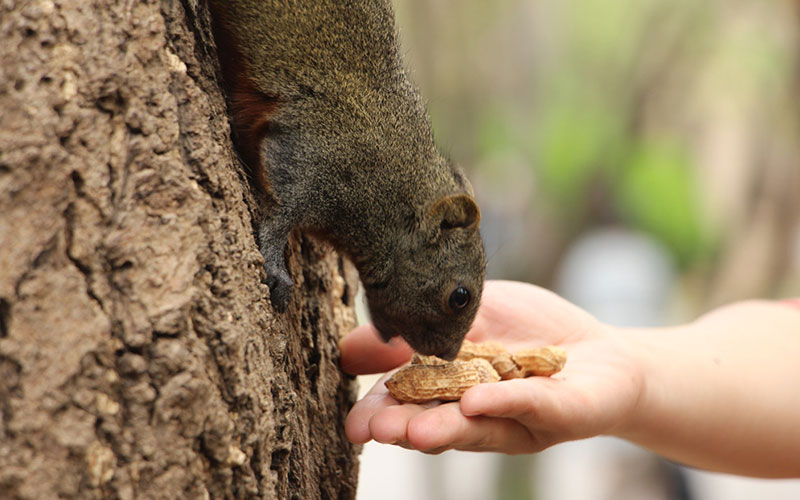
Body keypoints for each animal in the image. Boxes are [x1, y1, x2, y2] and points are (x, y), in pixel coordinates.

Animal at [206, 0, 484, 360]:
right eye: (460, 297)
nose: (449, 354)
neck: (391, 186)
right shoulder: (314, 157)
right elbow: (281, 214)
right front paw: (276, 268)